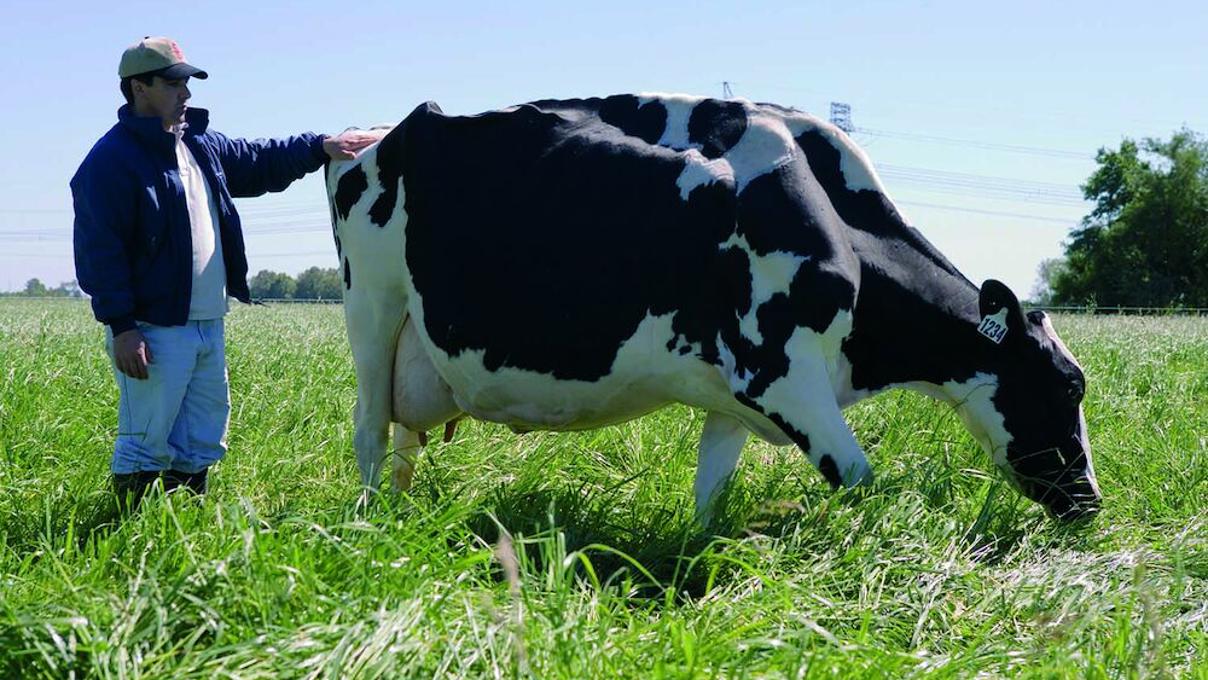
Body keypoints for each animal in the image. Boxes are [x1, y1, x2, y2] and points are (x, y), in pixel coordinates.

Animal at [324, 94, 1101, 524]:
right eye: (1069, 385)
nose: (1091, 500)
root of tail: (372, 138)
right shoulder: (782, 376)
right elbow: (860, 479)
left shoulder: (736, 400)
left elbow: (710, 499)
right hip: (372, 311)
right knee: (369, 433)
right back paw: (372, 526)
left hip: (416, 350)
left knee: (403, 442)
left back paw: (405, 516)